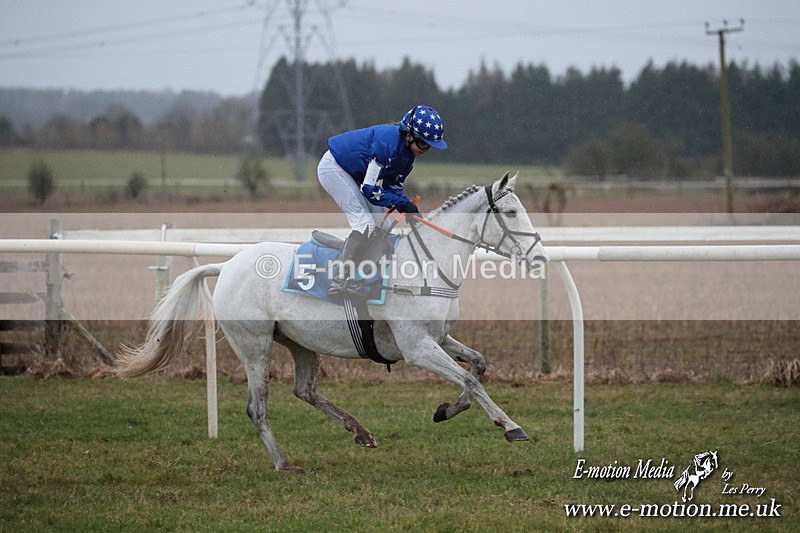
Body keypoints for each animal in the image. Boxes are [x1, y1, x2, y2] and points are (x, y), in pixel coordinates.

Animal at [116, 172, 549, 472]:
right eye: (511, 211)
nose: (540, 257)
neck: (426, 265)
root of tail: (227, 265)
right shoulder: (417, 347)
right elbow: (471, 380)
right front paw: (510, 425)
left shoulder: (439, 338)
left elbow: (477, 367)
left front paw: (446, 409)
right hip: (254, 345)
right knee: (258, 407)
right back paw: (284, 463)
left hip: (300, 343)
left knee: (305, 390)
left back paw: (360, 431)